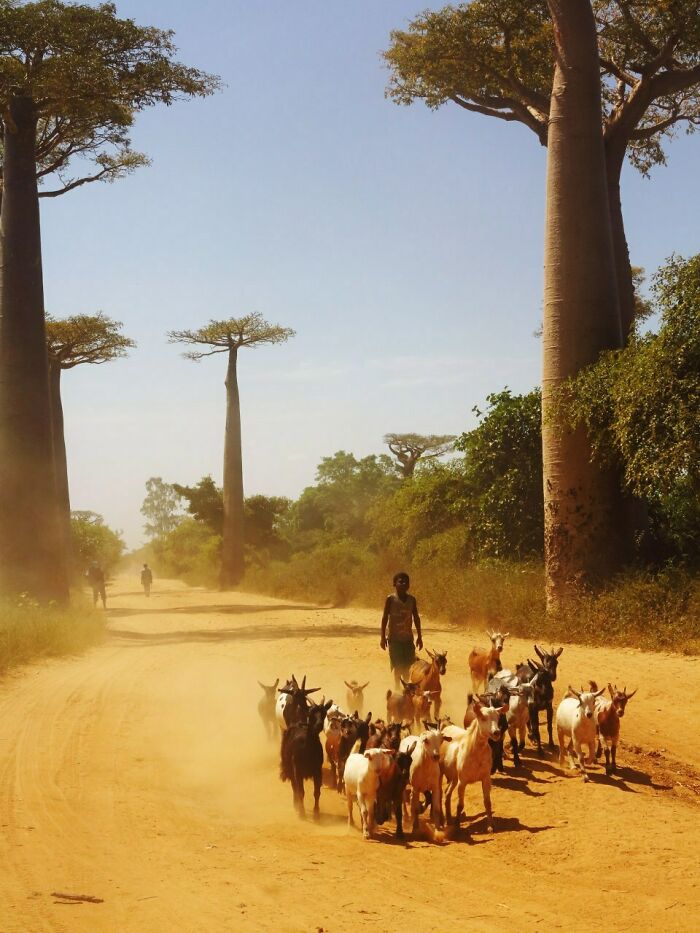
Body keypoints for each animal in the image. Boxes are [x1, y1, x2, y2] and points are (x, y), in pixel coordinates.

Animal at [441, 699, 507, 832]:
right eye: (483, 718)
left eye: (497, 717)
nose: (496, 732)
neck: (475, 750)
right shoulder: (462, 782)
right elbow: (460, 804)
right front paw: (457, 826)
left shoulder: (486, 778)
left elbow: (487, 802)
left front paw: (490, 825)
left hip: (454, 778)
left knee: (447, 793)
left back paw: (449, 819)